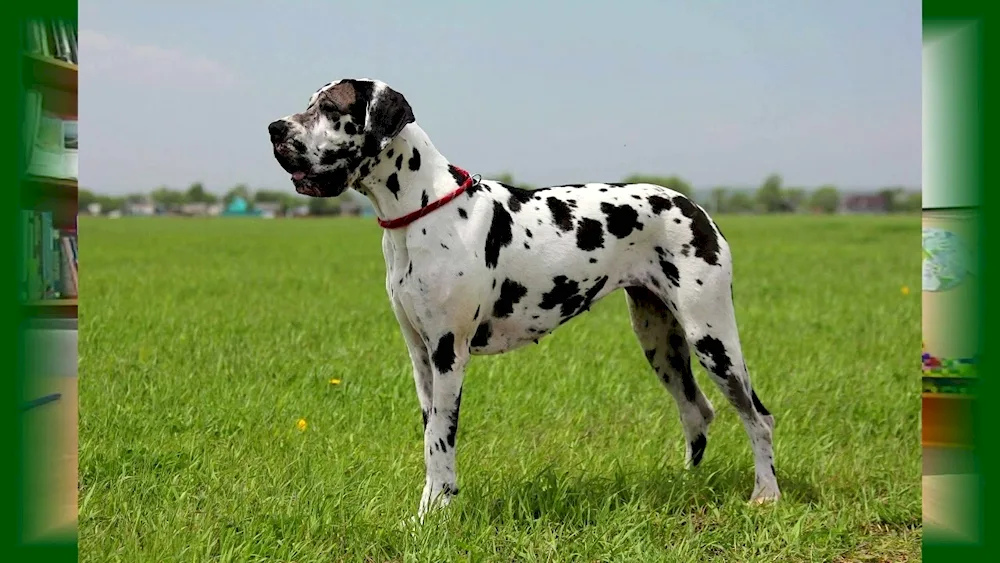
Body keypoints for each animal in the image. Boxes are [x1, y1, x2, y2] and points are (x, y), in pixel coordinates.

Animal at [268, 79, 780, 520]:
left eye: (329, 107)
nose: (275, 129)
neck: (421, 210)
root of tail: (695, 206)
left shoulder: (448, 353)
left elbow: (440, 440)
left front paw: (434, 513)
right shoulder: (420, 356)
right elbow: (429, 434)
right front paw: (435, 505)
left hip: (712, 338)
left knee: (758, 416)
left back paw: (766, 494)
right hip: (660, 342)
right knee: (697, 411)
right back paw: (684, 485)